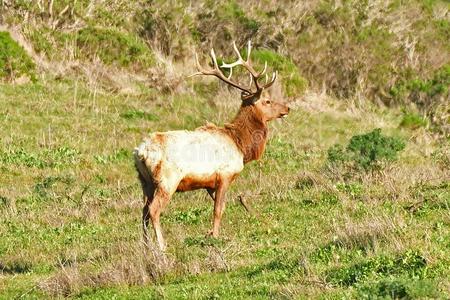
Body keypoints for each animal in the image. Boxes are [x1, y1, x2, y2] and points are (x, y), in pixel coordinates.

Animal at [134, 41, 290, 250]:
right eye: (267, 100)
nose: (287, 108)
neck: (240, 145)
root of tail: (141, 153)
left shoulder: (209, 184)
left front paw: (210, 233)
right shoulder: (224, 175)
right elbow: (218, 209)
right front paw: (215, 237)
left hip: (145, 182)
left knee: (143, 210)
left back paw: (146, 245)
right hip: (167, 180)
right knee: (153, 210)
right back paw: (161, 246)